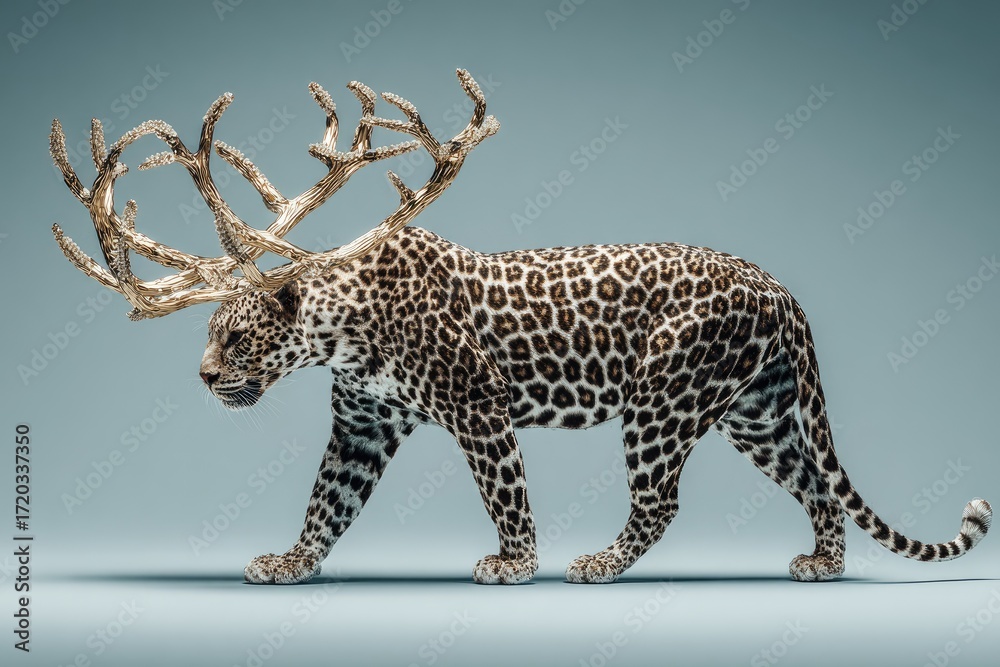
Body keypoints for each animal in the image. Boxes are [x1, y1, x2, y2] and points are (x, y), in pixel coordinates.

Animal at [198, 225, 992, 585]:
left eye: (234, 336)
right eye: (211, 334)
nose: (202, 376)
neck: (341, 329)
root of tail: (775, 284)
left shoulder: (478, 409)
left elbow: (505, 492)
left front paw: (516, 564)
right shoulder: (362, 426)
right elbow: (328, 499)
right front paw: (293, 561)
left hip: (662, 400)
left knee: (661, 499)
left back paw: (600, 563)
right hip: (756, 415)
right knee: (814, 481)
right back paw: (824, 562)